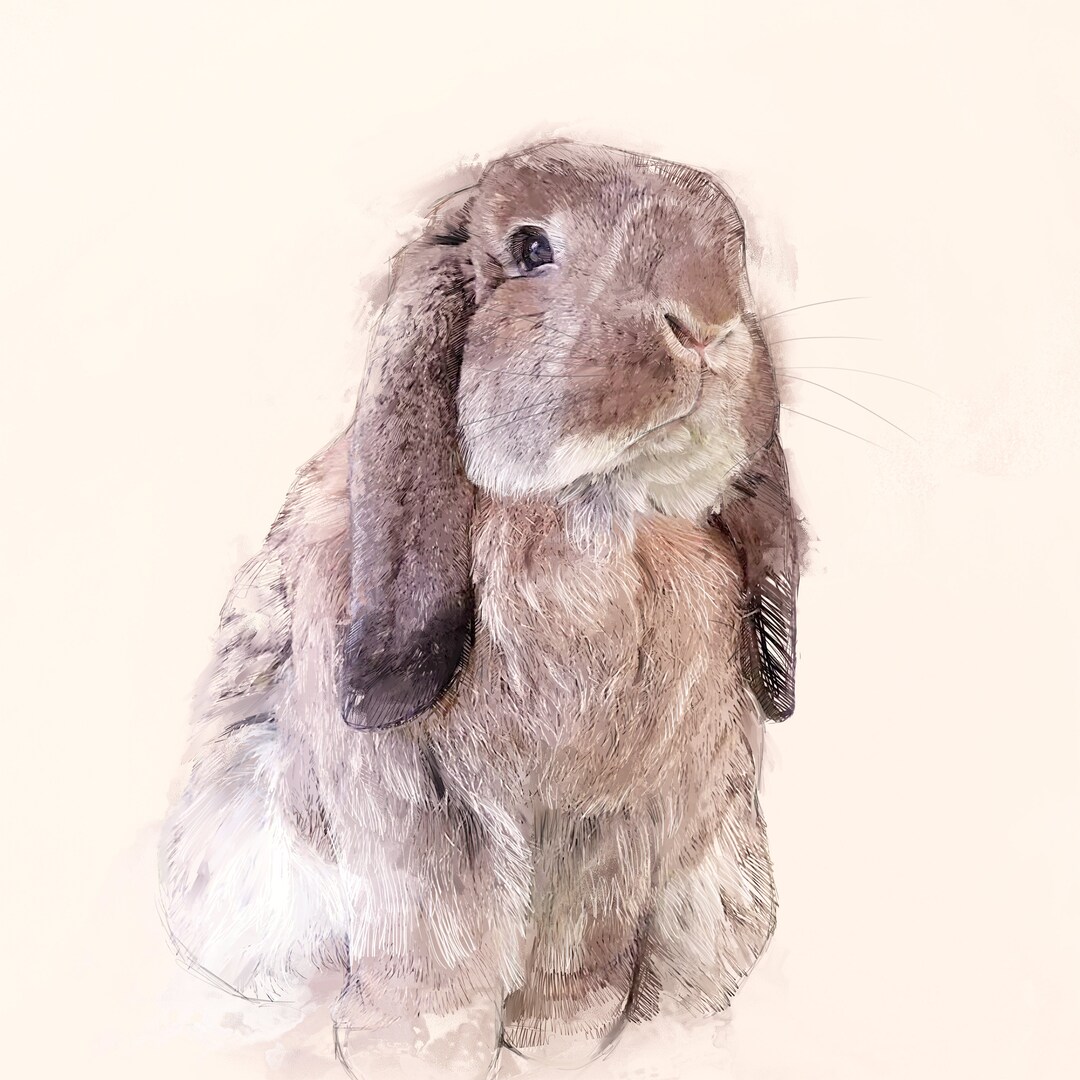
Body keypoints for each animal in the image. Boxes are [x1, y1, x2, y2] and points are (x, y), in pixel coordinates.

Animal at [158, 138, 805, 1066]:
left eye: (736, 254)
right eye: (532, 248)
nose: (708, 323)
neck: (589, 518)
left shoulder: (616, 820)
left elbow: (584, 949)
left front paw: (560, 1045)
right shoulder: (412, 810)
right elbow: (430, 945)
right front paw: (413, 1054)